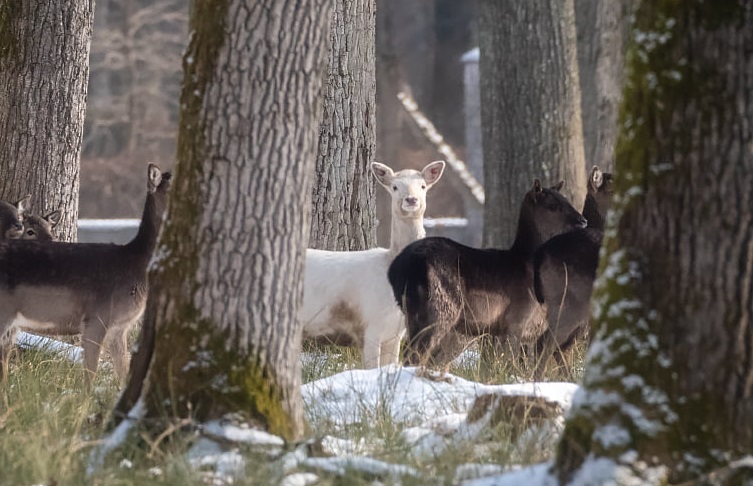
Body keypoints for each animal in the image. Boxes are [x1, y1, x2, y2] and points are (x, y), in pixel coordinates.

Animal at [388, 179, 587, 367]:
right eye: (553, 206)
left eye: (566, 200)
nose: (583, 221)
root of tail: (399, 269)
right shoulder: (517, 319)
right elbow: (511, 360)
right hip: (440, 307)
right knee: (416, 353)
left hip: (411, 312)